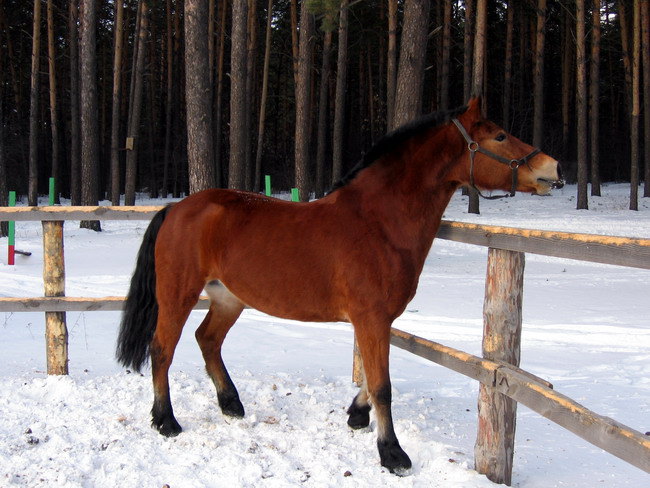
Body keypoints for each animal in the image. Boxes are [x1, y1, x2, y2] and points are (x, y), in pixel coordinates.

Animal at [117, 97, 560, 474]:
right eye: (499, 136)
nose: (552, 169)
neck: (378, 222)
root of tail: (176, 208)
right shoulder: (371, 317)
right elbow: (382, 385)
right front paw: (392, 453)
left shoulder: (376, 320)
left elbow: (370, 376)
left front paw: (357, 415)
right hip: (178, 295)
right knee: (162, 349)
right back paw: (166, 421)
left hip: (229, 298)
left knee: (207, 339)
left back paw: (230, 404)